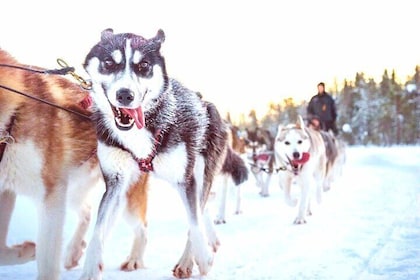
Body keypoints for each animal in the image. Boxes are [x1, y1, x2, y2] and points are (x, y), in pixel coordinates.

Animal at [79, 29, 243, 278]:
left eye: (144, 65)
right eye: (108, 63)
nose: (125, 95)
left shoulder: (185, 179)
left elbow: (193, 223)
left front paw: (201, 259)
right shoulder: (115, 182)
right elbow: (98, 230)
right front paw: (90, 267)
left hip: (201, 170)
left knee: (199, 207)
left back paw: (189, 259)